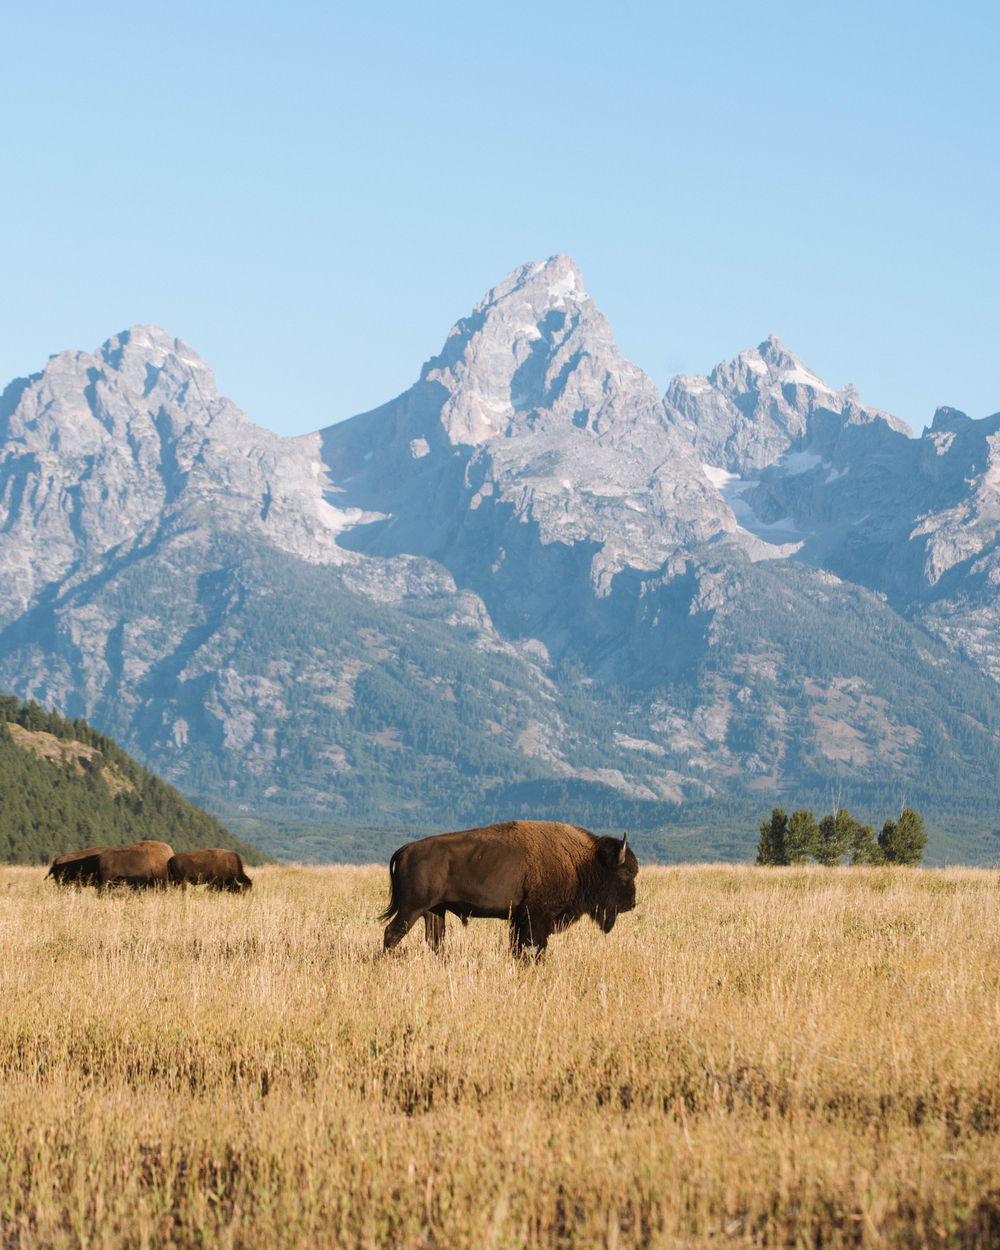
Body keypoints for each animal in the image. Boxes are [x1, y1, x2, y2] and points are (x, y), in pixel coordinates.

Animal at [380, 820, 638, 957]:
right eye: (626, 872)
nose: (632, 903)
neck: (582, 861)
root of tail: (406, 848)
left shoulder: (520, 918)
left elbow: (519, 947)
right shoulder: (537, 916)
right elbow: (533, 947)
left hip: (434, 911)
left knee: (435, 940)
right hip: (412, 908)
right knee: (392, 933)